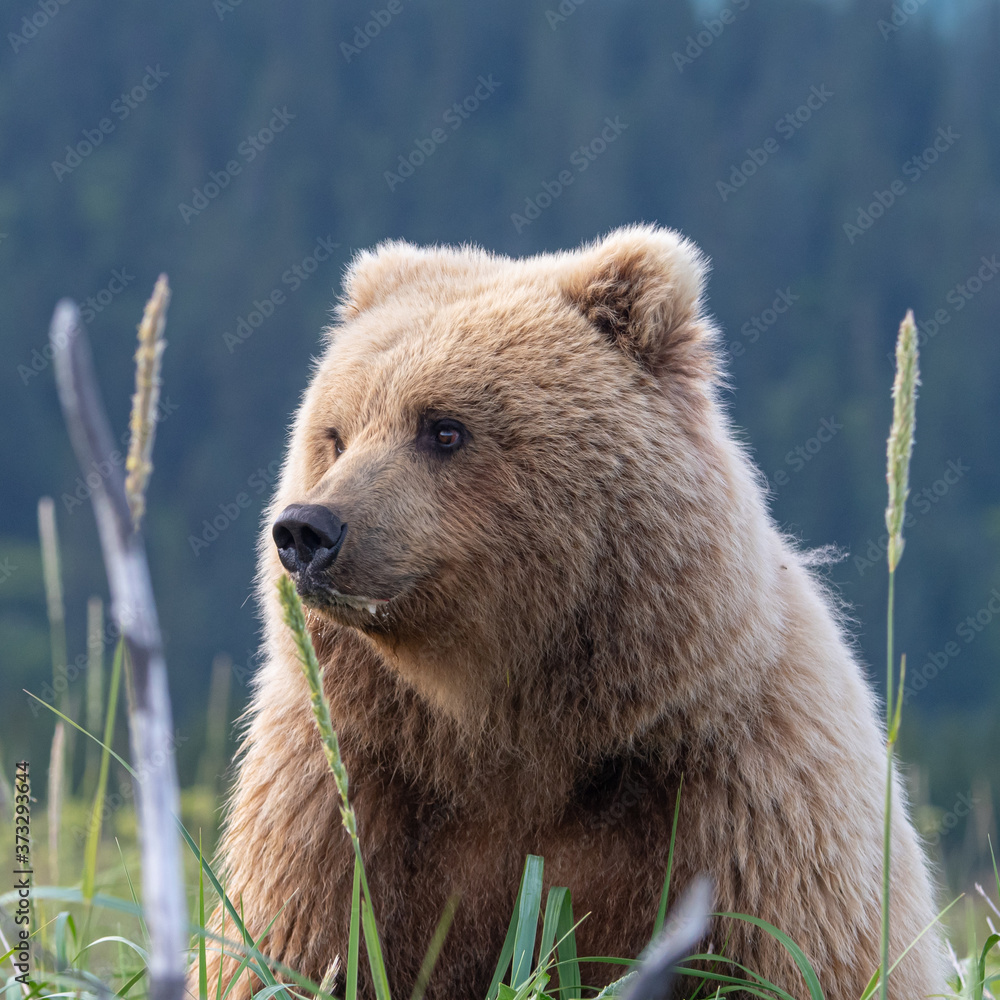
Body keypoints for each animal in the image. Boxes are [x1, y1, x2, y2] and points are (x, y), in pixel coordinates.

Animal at [199, 225, 945, 1000]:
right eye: (335, 434)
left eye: (443, 428)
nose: (308, 530)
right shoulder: (345, 792)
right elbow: (287, 952)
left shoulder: (748, 799)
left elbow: (800, 956)